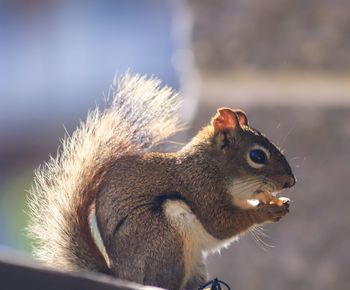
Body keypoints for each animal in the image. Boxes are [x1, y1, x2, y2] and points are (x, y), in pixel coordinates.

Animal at [27, 73, 296, 288]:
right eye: (257, 156)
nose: (290, 182)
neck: (212, 167)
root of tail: (122, 276)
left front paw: (280, 202)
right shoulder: (202, 190)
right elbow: (222, 224)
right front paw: (268, 211)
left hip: (193, 261)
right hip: (165, 239)